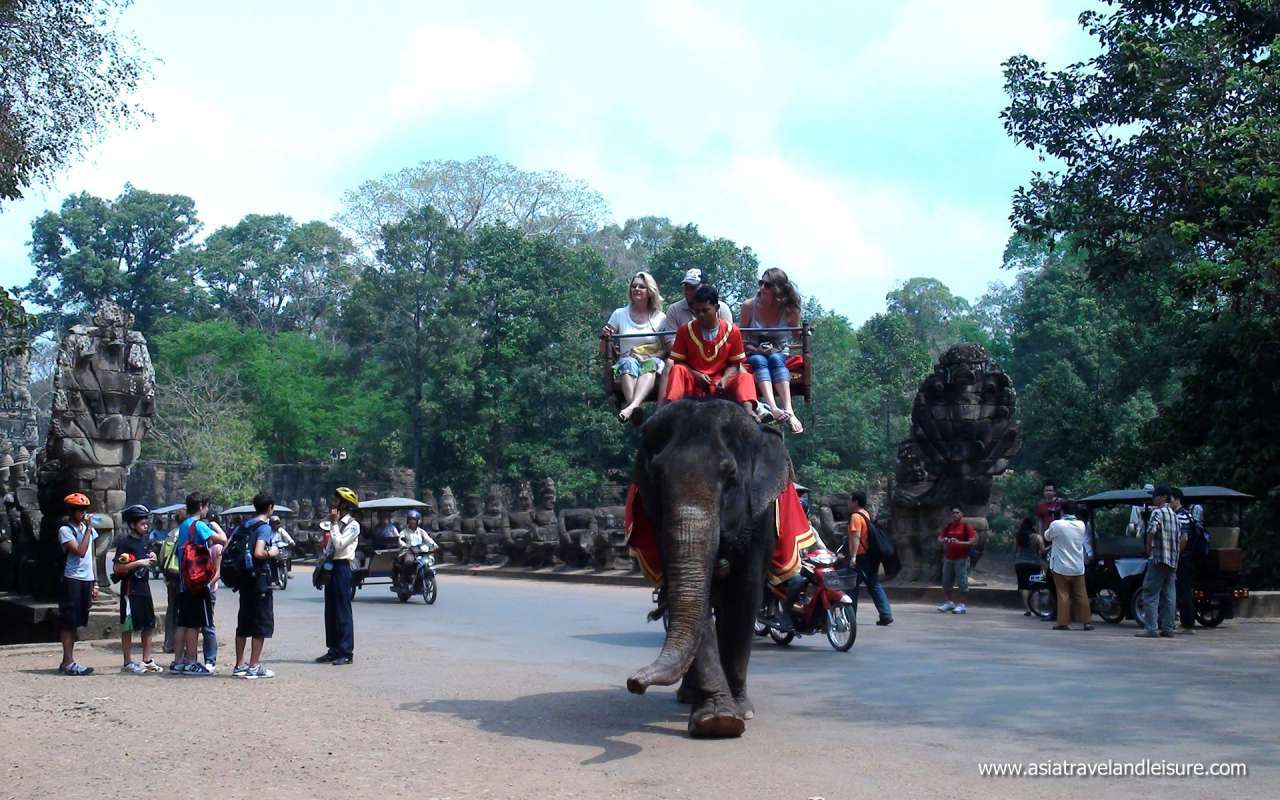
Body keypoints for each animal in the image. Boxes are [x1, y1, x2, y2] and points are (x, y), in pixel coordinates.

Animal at [622, 396, 788, 737]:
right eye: (656, 476)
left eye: (730, 476)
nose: (634, 682)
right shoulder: (658, 521)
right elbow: (695, 596)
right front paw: (717, 720)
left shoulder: (760, 517)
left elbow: (746, 593)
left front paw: (738, 711)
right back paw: (687, 696)